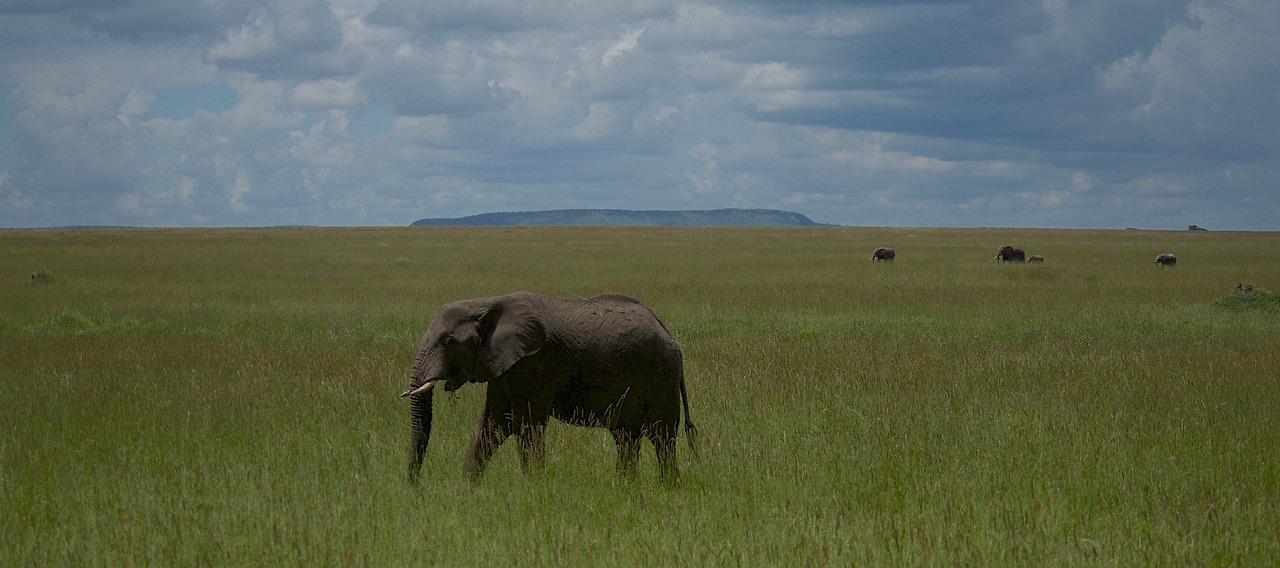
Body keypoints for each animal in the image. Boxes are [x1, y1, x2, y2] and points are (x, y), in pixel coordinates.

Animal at [401, 291, 697, 484]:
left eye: (448, 341)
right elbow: (493, 424)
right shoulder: (503, 365)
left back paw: (668, 487)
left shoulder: (536, 362)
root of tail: (670, 335)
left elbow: (526, 425)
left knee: (662, 437)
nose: (416, 488)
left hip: (661, 376)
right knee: (626, 438)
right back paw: (625, 487)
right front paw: (467, 489)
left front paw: (533, 488)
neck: (485, 303)